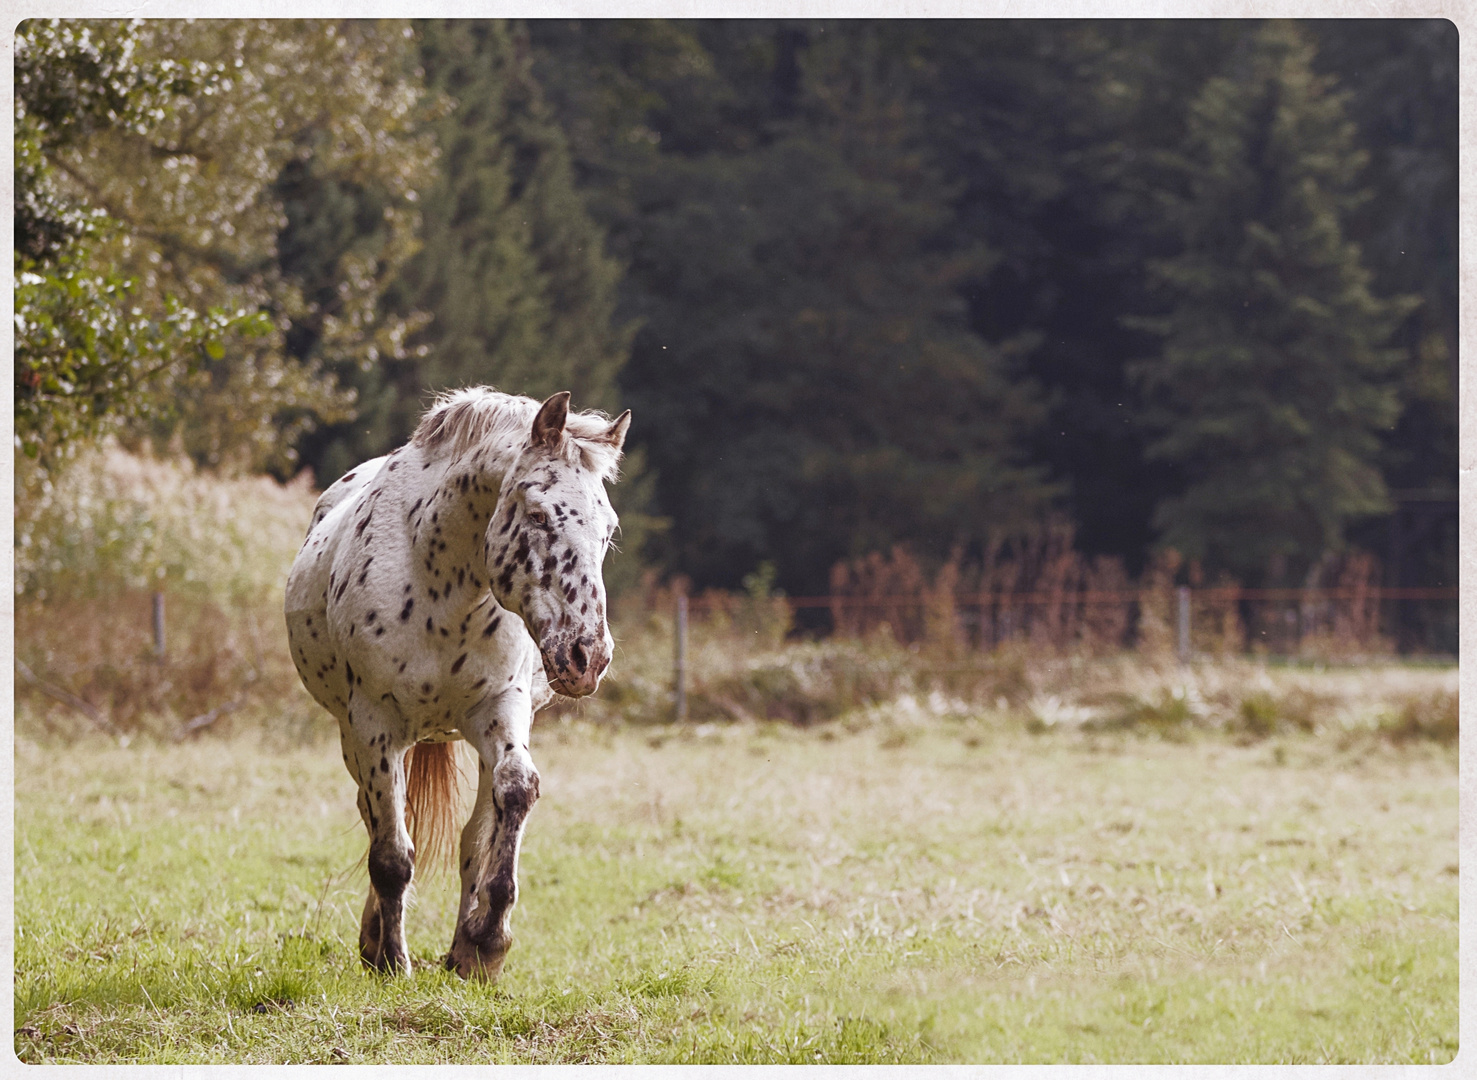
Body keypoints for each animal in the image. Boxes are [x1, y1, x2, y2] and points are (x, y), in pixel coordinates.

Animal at [285, 387, 632, 981]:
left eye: (607, 529)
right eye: (537, 514)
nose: (588, 656)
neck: (440, 585)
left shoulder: (501, 707)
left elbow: (514, 795)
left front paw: (487, 944)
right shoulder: (373, 725)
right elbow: (391, 854)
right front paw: (393, 961)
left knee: (473, 836)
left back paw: (460, 951)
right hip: (358, 740)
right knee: (381, 824)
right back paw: (375, 941)